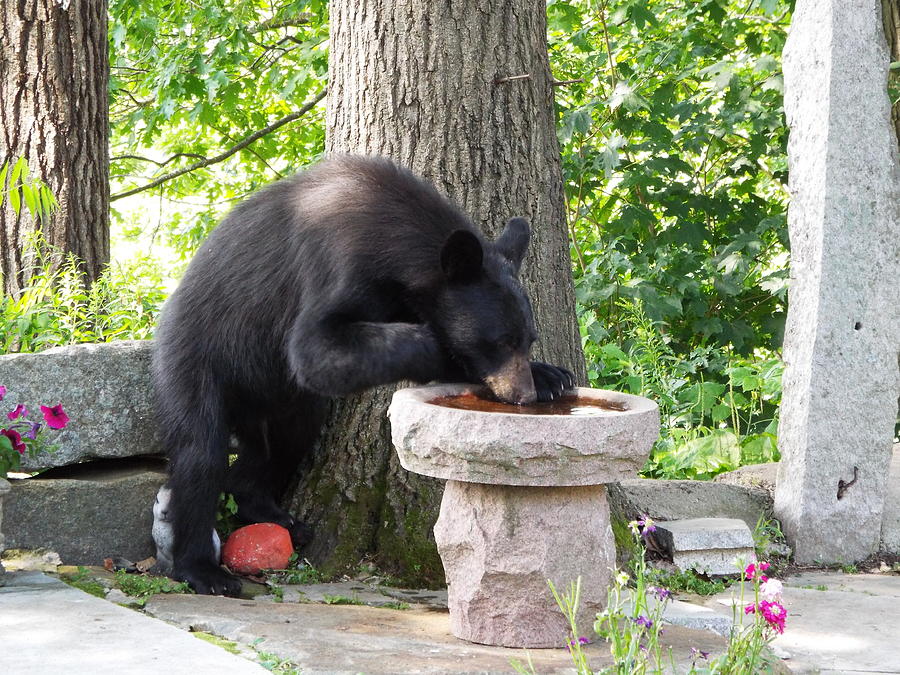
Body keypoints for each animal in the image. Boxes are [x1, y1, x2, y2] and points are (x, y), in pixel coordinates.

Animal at [153, 154, 576, 596]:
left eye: (528, 339)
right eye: (499, 342)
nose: (522, 396)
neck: (395, 241)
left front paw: (551, 376)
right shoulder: (339, 262)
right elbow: (315, 349)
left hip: (279, 397)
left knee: (288, 438)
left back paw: (275, 512)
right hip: (196, 360)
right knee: (200, 453)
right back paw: (204, 570)